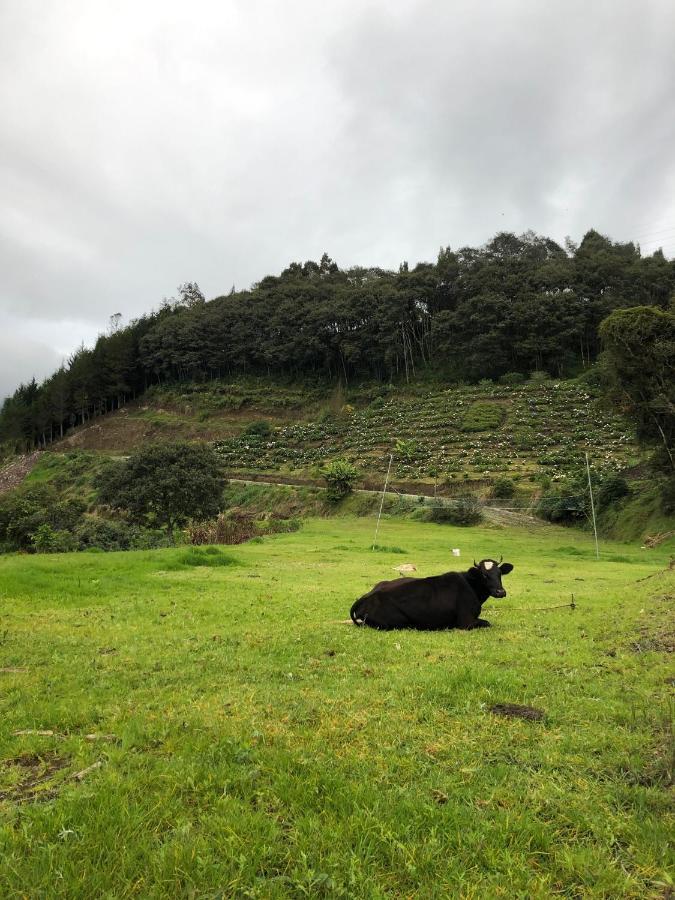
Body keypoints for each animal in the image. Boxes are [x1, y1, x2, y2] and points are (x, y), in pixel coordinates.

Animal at [352, 556, 516, 632]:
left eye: (499, 573)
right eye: (484, 575)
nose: (500, 592)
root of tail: (366, 596)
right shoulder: (466, 622)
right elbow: (488, 623)